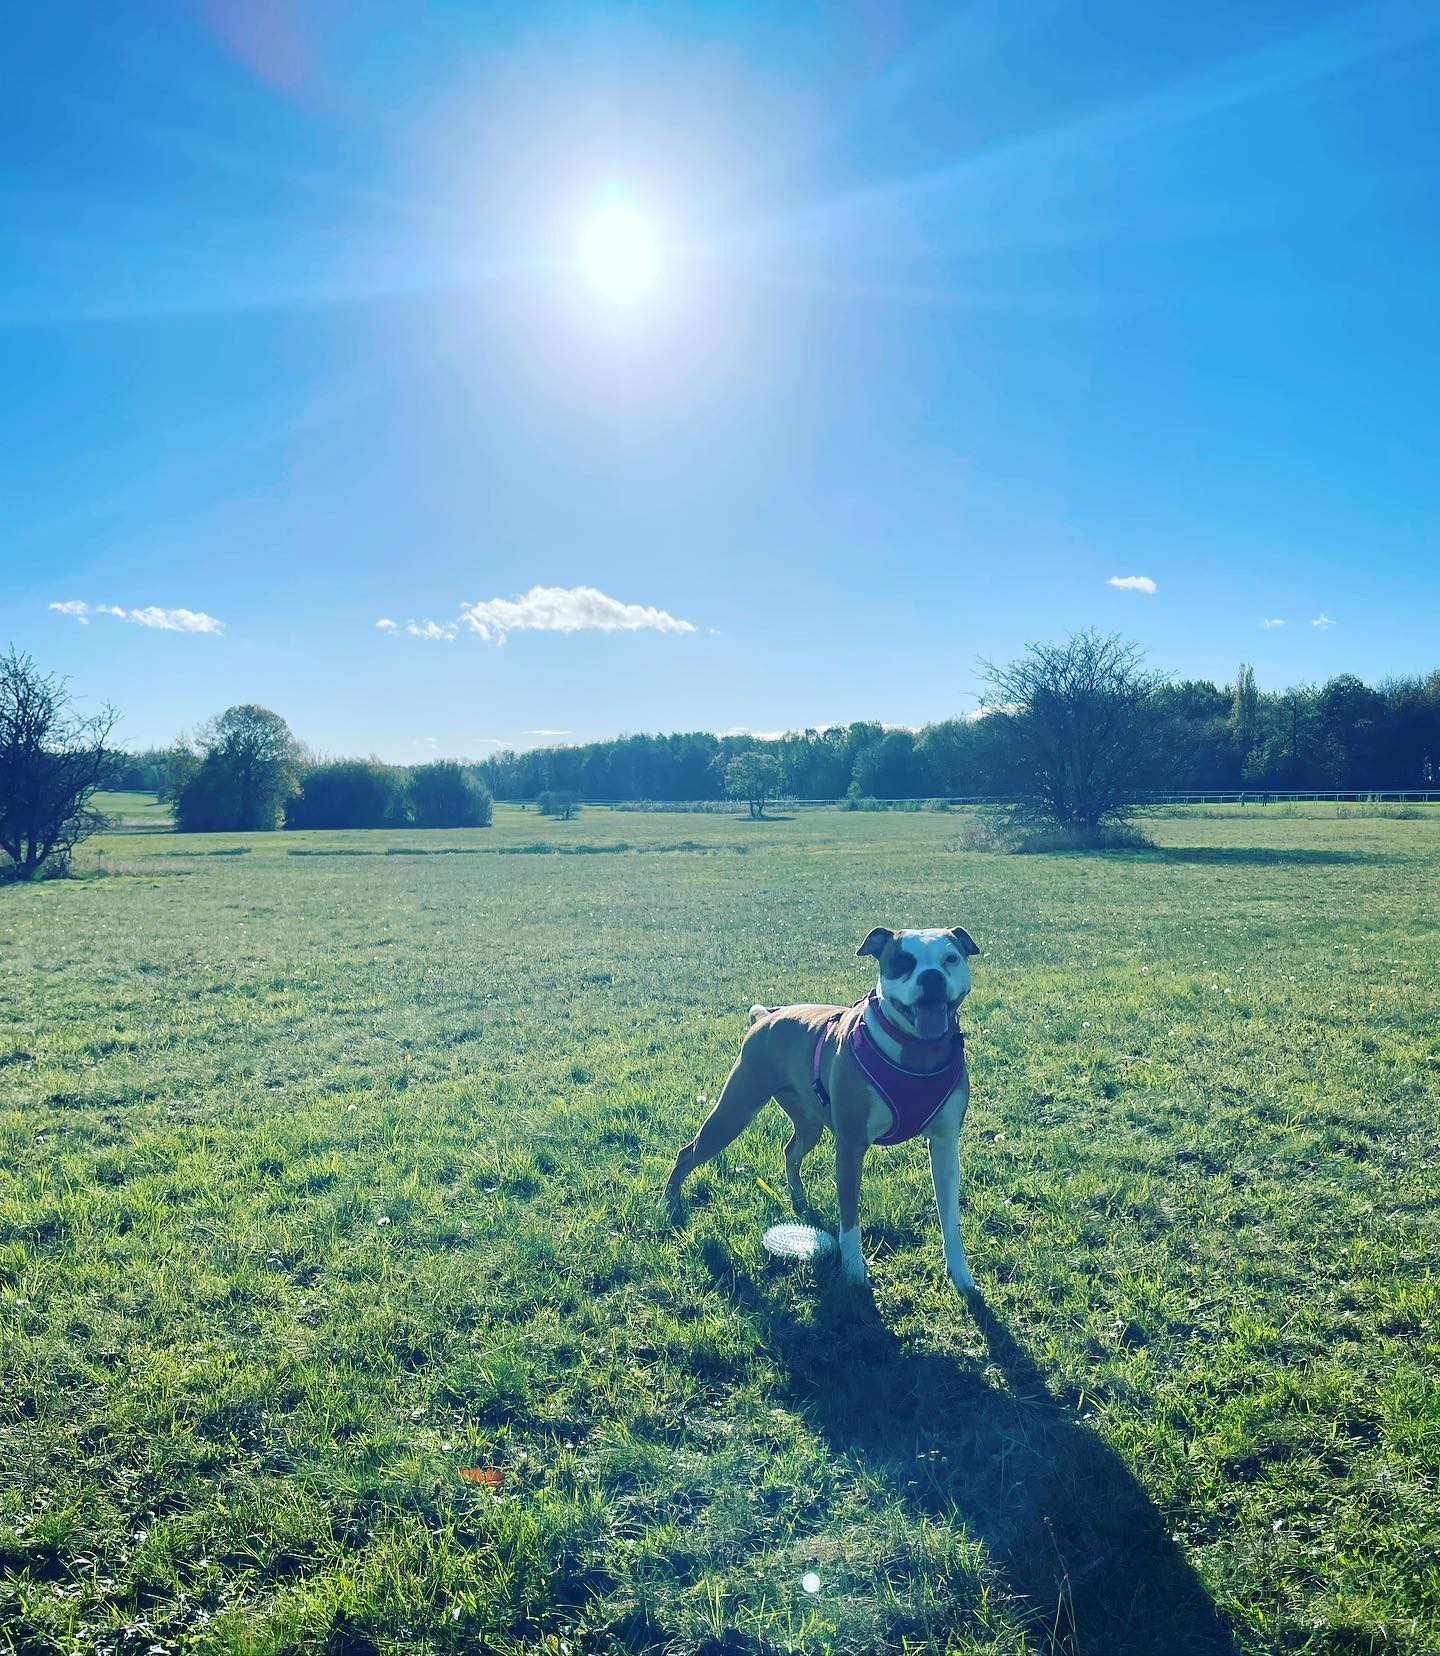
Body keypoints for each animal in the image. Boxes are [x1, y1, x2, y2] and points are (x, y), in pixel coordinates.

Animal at [668, 927, 986, 1285]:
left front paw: (961, 1277)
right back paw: (670, 1205)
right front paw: (854, 1273)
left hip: (808, 1124)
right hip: (733, 1112)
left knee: (791, 1151)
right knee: (688, 1153)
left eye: (951, 958)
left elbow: (950, 1217)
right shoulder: (850, 1147)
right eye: (903, 961)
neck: (917, 1053)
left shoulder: (945, 1145)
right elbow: (849, 1220)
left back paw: (800, 1199)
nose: (932, 976)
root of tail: (767, 1016)